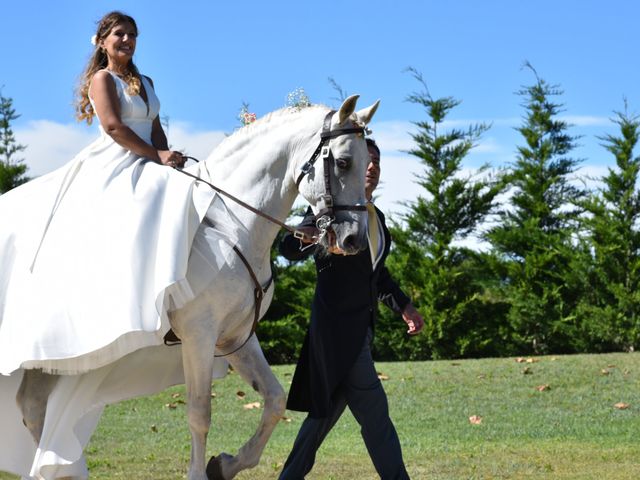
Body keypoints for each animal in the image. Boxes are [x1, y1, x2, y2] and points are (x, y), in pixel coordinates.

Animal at [8, 94, 380, 480]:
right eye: (343, 162)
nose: (353, 240)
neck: (232, 226)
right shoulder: (198, 336)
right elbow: (200, 414)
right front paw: (202, 471)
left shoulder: (235, 337)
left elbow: (275, 400)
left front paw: (227, 464)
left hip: (45, 359)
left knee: (32, 406)